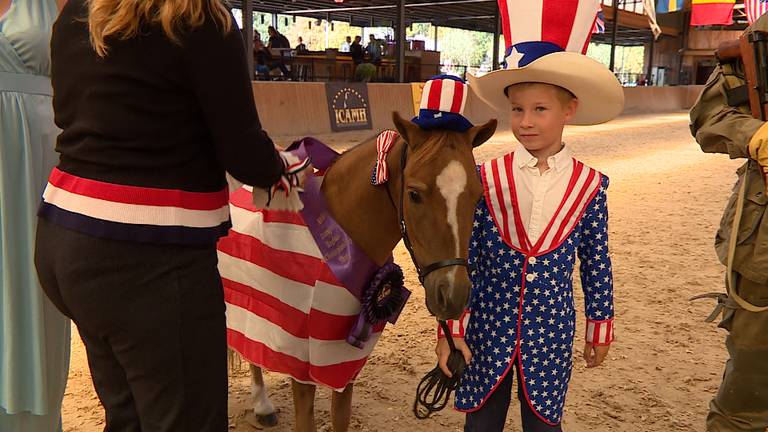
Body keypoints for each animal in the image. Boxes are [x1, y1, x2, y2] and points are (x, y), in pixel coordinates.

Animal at [228, 113, 498, 430]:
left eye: (477, 196)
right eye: (414, 194)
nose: (453, 294)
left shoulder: (341, 362)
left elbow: (341, 417)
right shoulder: (299, 360)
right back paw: (262, 404)